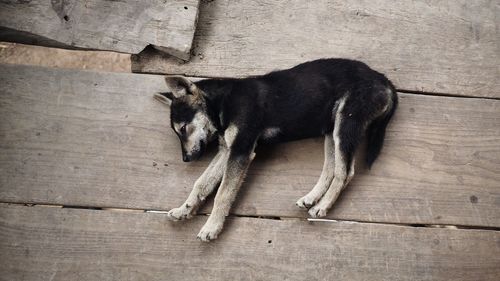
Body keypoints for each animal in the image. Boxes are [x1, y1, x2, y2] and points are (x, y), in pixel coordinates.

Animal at [154, 57, 396, 241]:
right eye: (178, 131)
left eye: (183, 128)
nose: (186, 159)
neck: (222, 102)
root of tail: (382, 79)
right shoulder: (227, 150)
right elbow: (201, 183)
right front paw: (185, 209)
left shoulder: (240, 151)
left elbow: (223, 193)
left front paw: (211, 227)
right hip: (332, 130)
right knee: (332, 169)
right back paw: (312, 198)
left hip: (346, 123)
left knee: (345, 172)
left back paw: (324, 206)